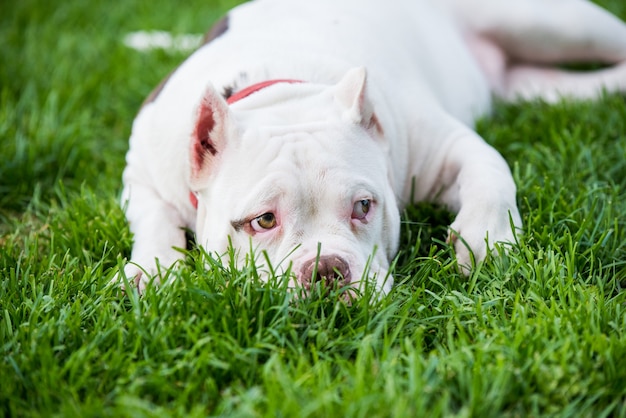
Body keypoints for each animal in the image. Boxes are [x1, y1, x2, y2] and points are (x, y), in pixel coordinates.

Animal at [117, 0, 624, 294]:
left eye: (363, 206)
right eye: (263, 221)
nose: (325, 271)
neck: (281, 95)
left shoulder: (443, 144)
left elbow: (491, 173)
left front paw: (486, 239)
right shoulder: (140, 172)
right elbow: (153, 217)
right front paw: (152, 270)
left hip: (550, 23)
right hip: (533, 81)